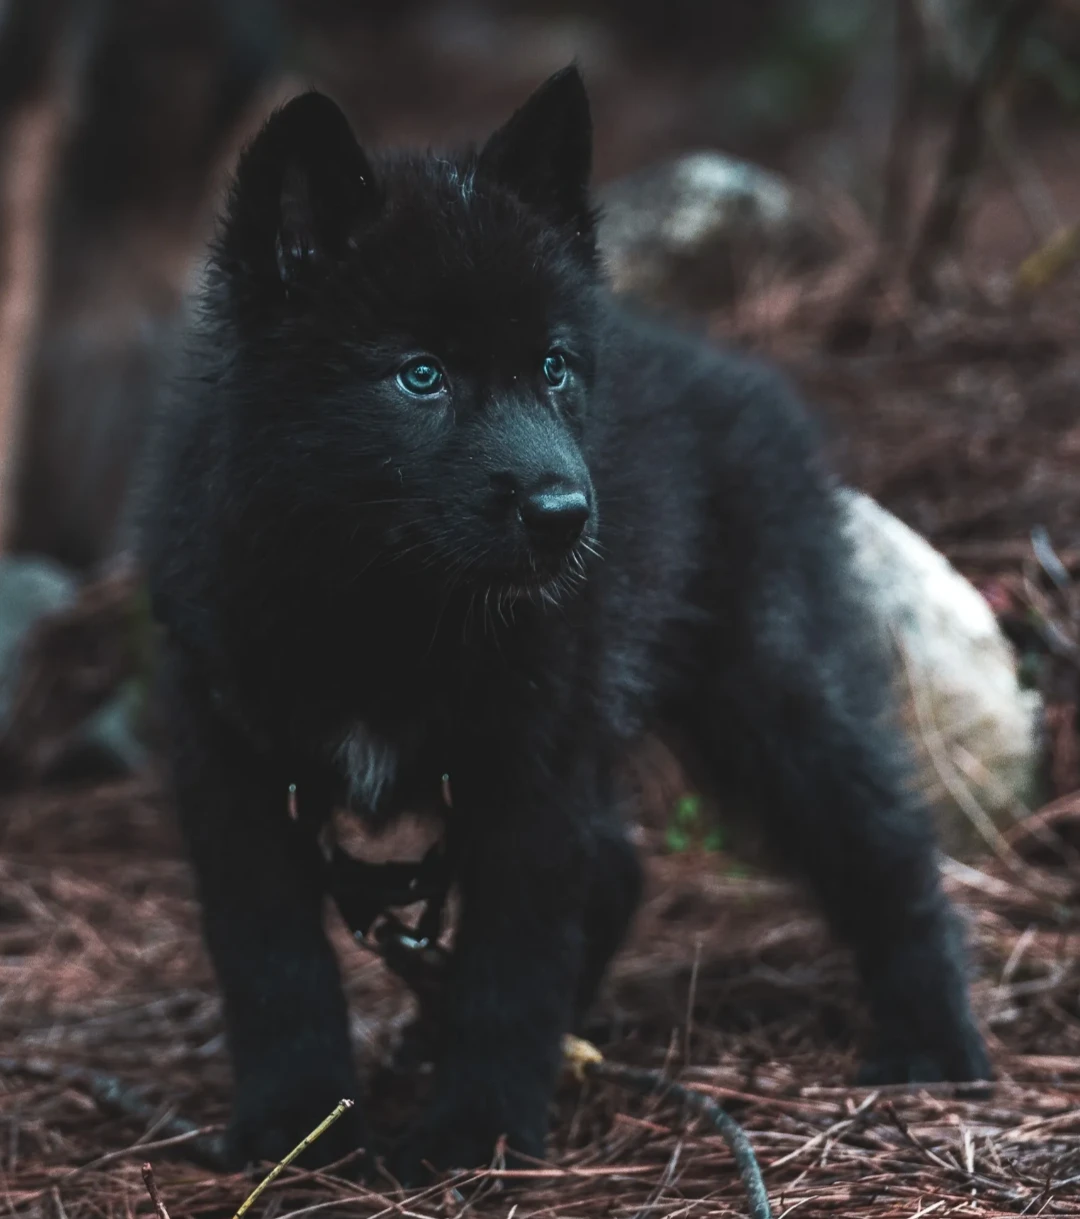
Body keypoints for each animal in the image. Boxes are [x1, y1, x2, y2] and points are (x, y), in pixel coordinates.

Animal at [136, 66, 990, 1179]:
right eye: (420, 374)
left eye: (552, 366)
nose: (565, 515)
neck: (385, 605)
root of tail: (746, 375)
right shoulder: (235, 768)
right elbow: (273, 963)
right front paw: (300, 1128)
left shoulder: (530, 768)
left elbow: (513, 965)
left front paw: (476, 1133)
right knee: (624, 869)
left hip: (772, 688)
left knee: (889, 848)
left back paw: (934, 1044)